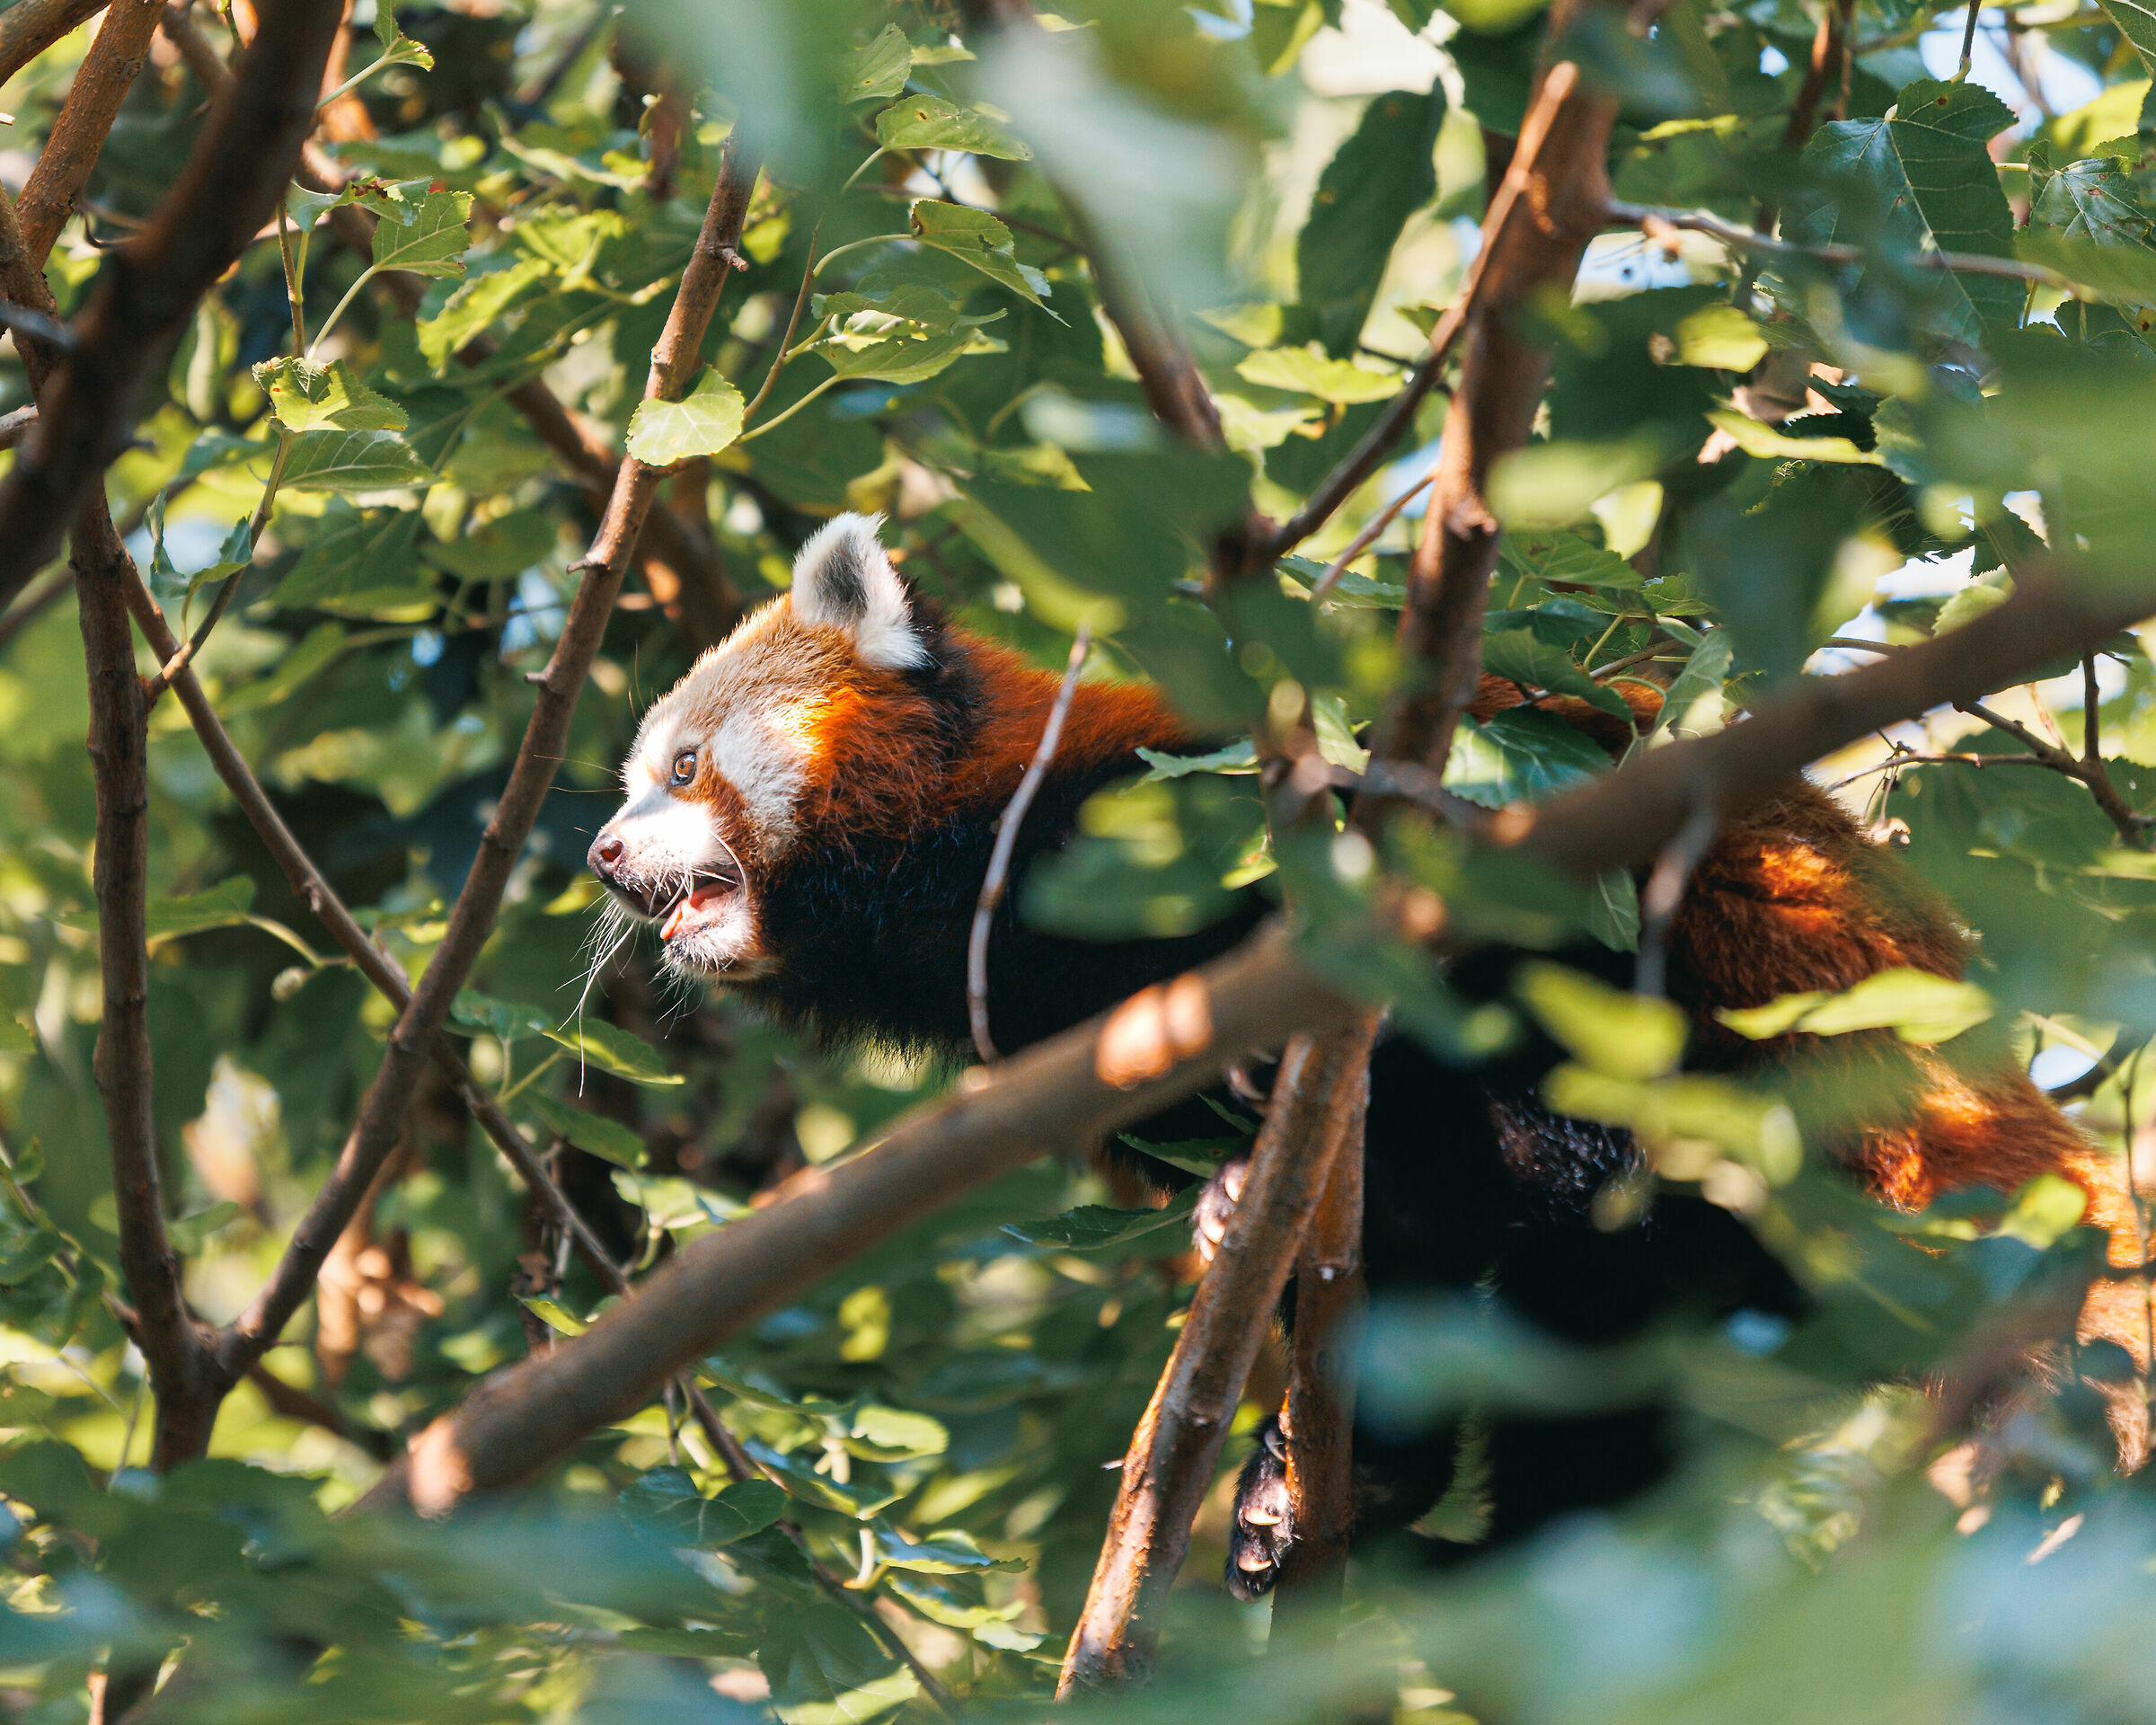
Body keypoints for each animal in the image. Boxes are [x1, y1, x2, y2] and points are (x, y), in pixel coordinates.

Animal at [587, 511, 2146, 1596]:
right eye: (631, 781)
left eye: (681, 767)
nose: (600, 855)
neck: (973, 877)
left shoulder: (1198, 818)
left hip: (1741, 1021)